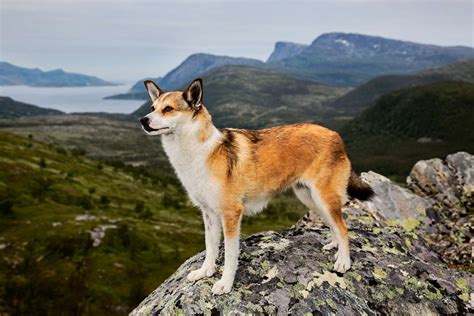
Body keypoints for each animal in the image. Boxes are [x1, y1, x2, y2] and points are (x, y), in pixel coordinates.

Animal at [140, 78, 374, 296]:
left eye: (168, 109)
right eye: (152, 107)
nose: (143, 120)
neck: (198, 150)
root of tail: (335, 136)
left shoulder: (231, 214)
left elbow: (230, 254)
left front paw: (225, 284)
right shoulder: (209, 214)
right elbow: (210, 247)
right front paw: (205, 271)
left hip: (324, 197)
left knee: (343, 228)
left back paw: (343, 261)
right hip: (310, 198)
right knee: (334, 224)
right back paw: (334, 247)